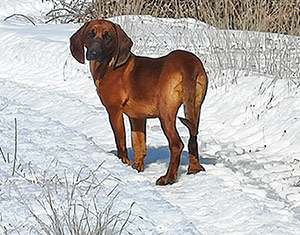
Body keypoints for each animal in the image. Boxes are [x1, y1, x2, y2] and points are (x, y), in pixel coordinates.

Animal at [69, 19, 207, 185]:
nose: (93, 53)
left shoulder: (114, 111)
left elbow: (121, 142)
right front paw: (137, 167)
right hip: (194, 108)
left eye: (108, 36)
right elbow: (139, 145)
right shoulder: (137, 117)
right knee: (193, 138)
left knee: (176, 144)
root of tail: (188, 63)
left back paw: (168, 178)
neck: (109, 65)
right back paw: (195, 169)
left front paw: (123, 163)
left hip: (166, 113)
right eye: (91, 33)